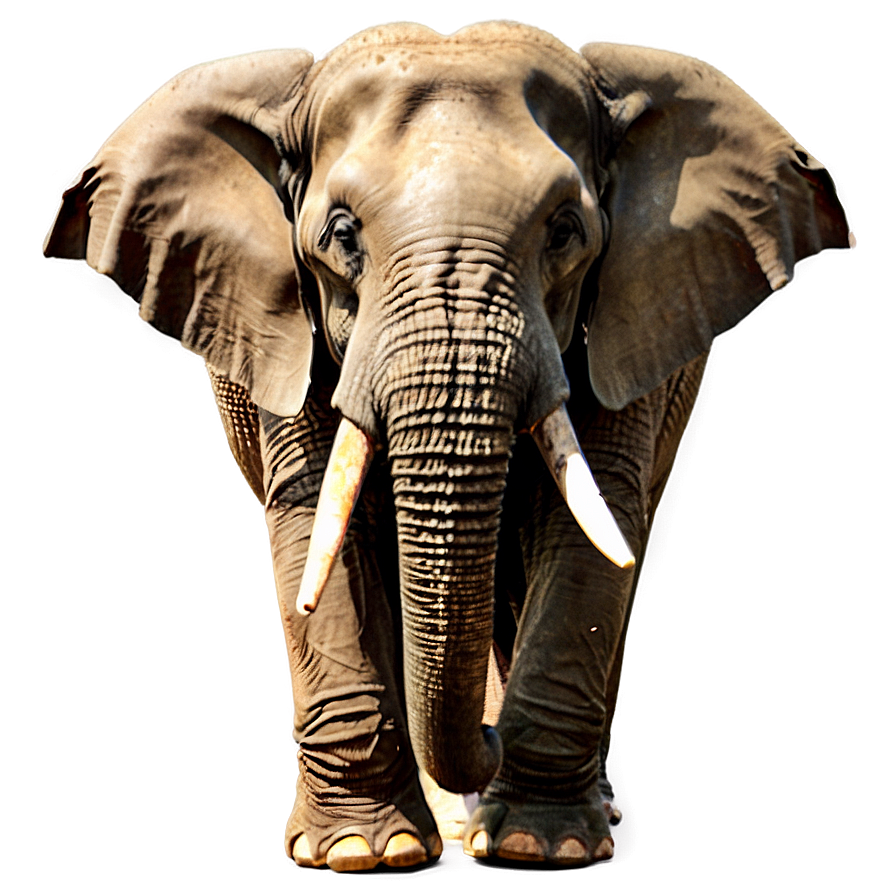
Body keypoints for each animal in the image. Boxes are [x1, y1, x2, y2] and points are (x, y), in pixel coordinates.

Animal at [44, 21, 849, 871]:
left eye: (565, 231)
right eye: (343, 235)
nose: (491, 738)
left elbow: (590, 527)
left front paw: (538, 846)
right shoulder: (284, 326)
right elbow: (321, 530)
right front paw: (365, 854)